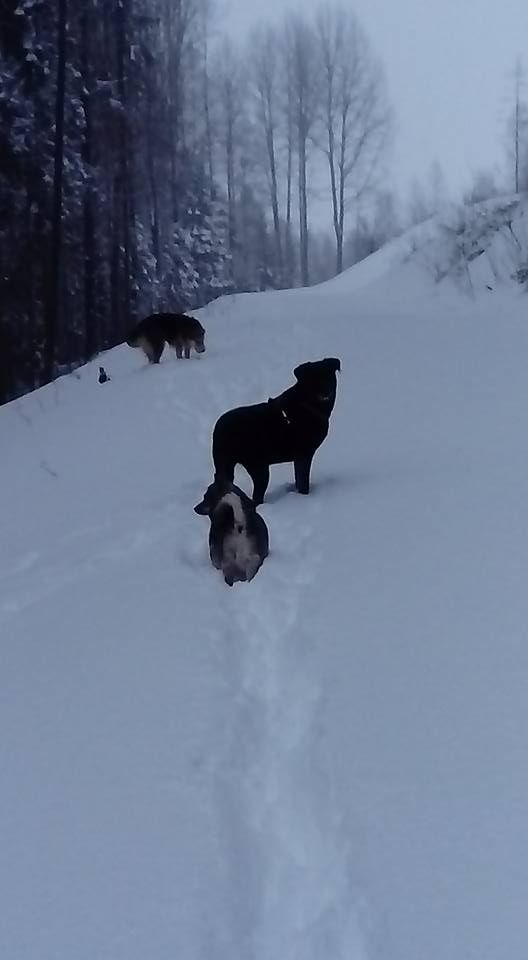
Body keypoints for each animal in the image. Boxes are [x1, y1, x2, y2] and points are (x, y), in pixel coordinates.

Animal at [211, 354, 340, 502]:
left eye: (328, 376)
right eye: (312, 379)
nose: (325, 391)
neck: (307, 404)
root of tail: (219, 429)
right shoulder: (304, 455)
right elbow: (303, 482)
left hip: (226, 464)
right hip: (259, 467)